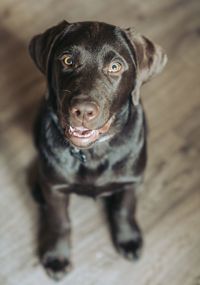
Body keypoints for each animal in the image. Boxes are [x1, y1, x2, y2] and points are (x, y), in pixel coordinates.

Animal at [29, 20, 167, 280]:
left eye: (115, 66)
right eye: (67, 60)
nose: (83, 111)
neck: (93, 153)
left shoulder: (132, 180)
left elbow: (125, 210)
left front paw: (129, 240)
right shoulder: (55, 187)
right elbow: (59, 221)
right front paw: (57, 256)